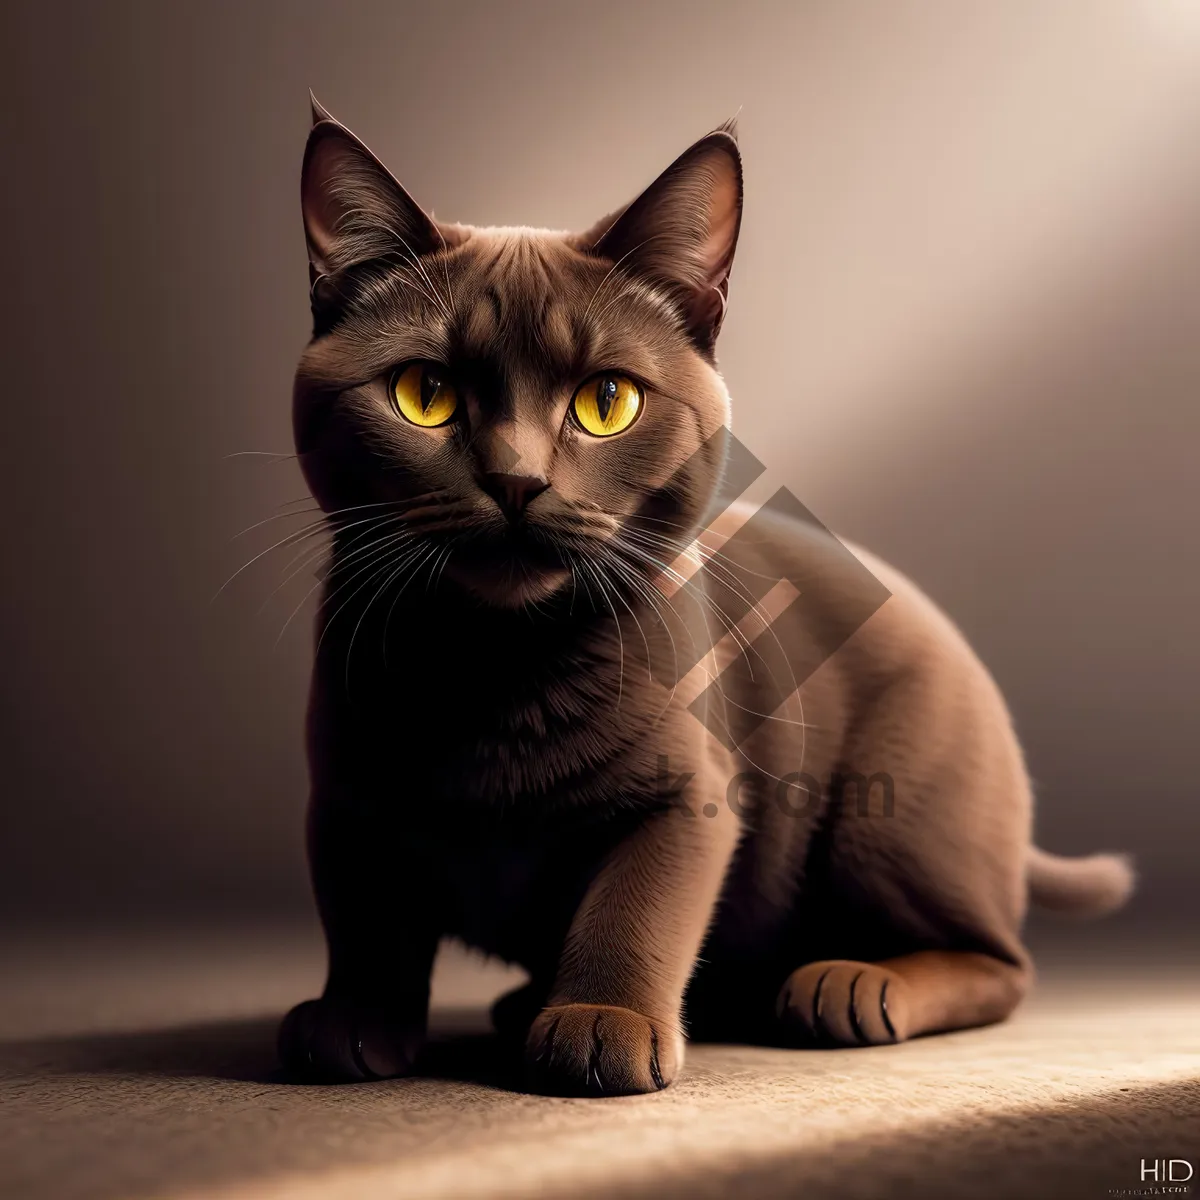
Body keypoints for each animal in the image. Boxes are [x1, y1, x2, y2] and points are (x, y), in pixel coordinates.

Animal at [278, 100, 1132, 1099]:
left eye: (607, 401)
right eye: (425, 394)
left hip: (894, 819)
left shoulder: (692, 792)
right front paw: (354, 1019)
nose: (516, 480)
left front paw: (601, 1020)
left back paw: (851, 986)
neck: (498, 666)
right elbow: (365, 916)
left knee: (999, 960)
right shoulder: (344, 799)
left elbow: (634, 906)